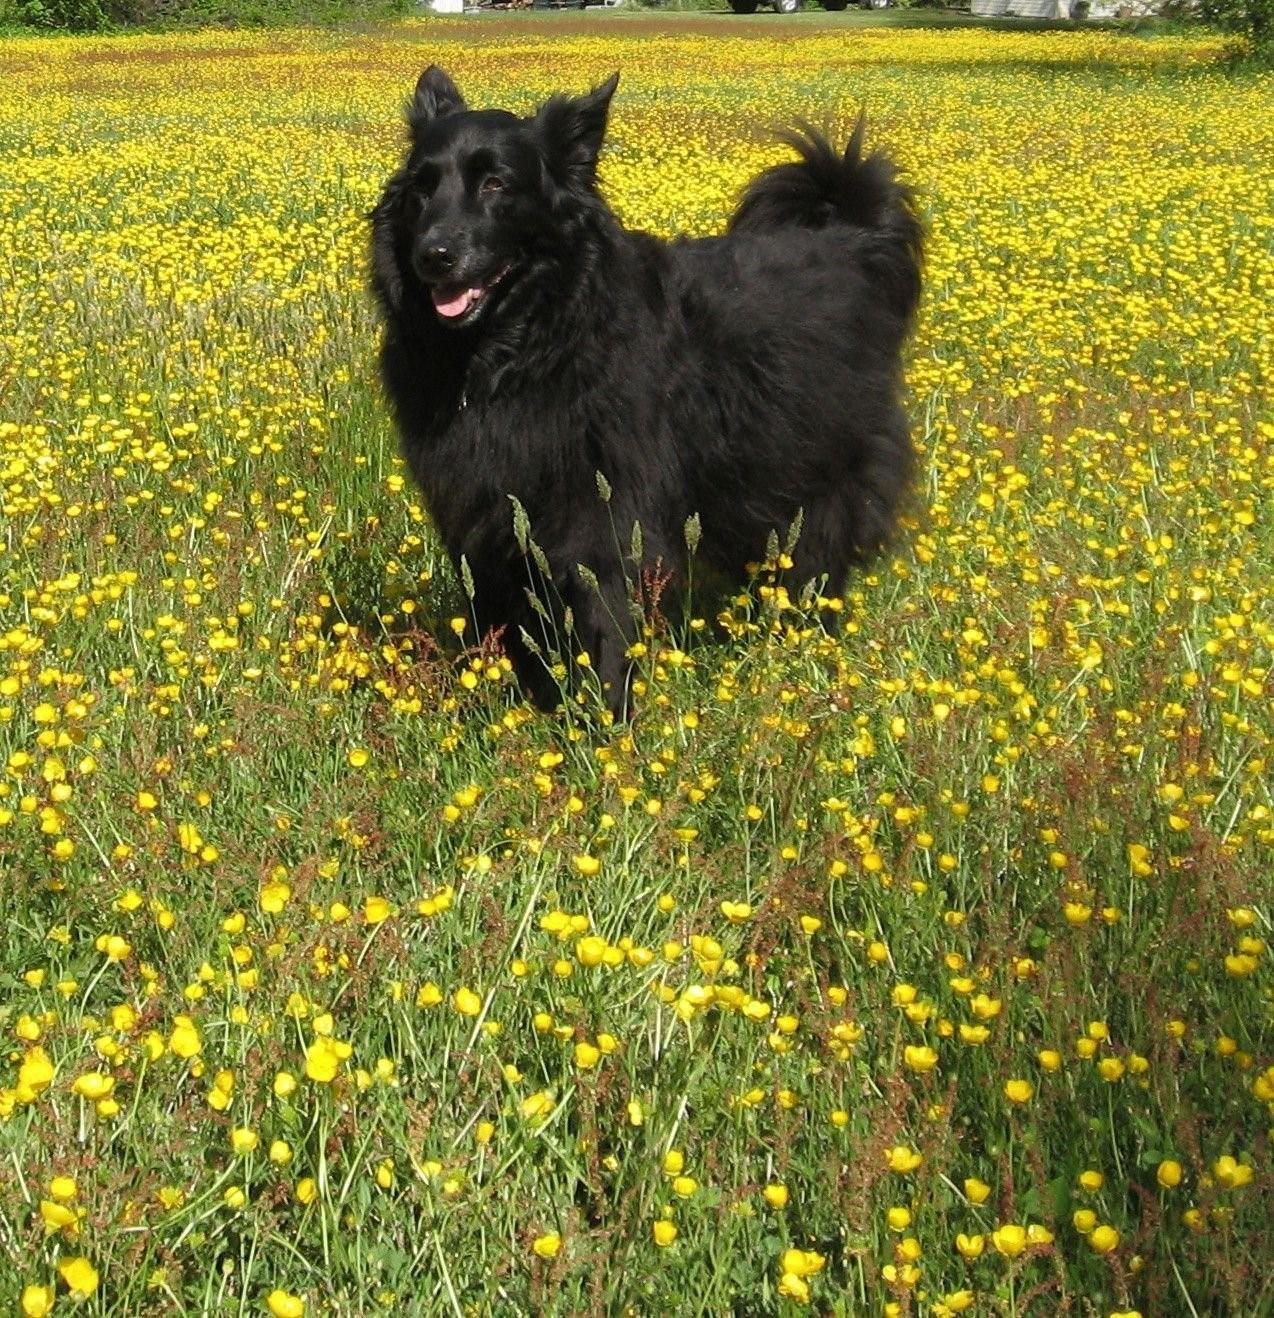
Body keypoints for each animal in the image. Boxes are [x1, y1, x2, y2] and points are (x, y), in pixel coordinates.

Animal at [374, 65, 922, 722]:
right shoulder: (486, 522)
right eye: (422, 189)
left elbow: (605, 621)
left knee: (817, 566)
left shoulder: (606, 516)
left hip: (818, 480)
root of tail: (854, 236)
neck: (532, 347)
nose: (433, 256)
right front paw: (519, 707)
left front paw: (605, 724)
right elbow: (504, 619)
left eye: (496, 184)